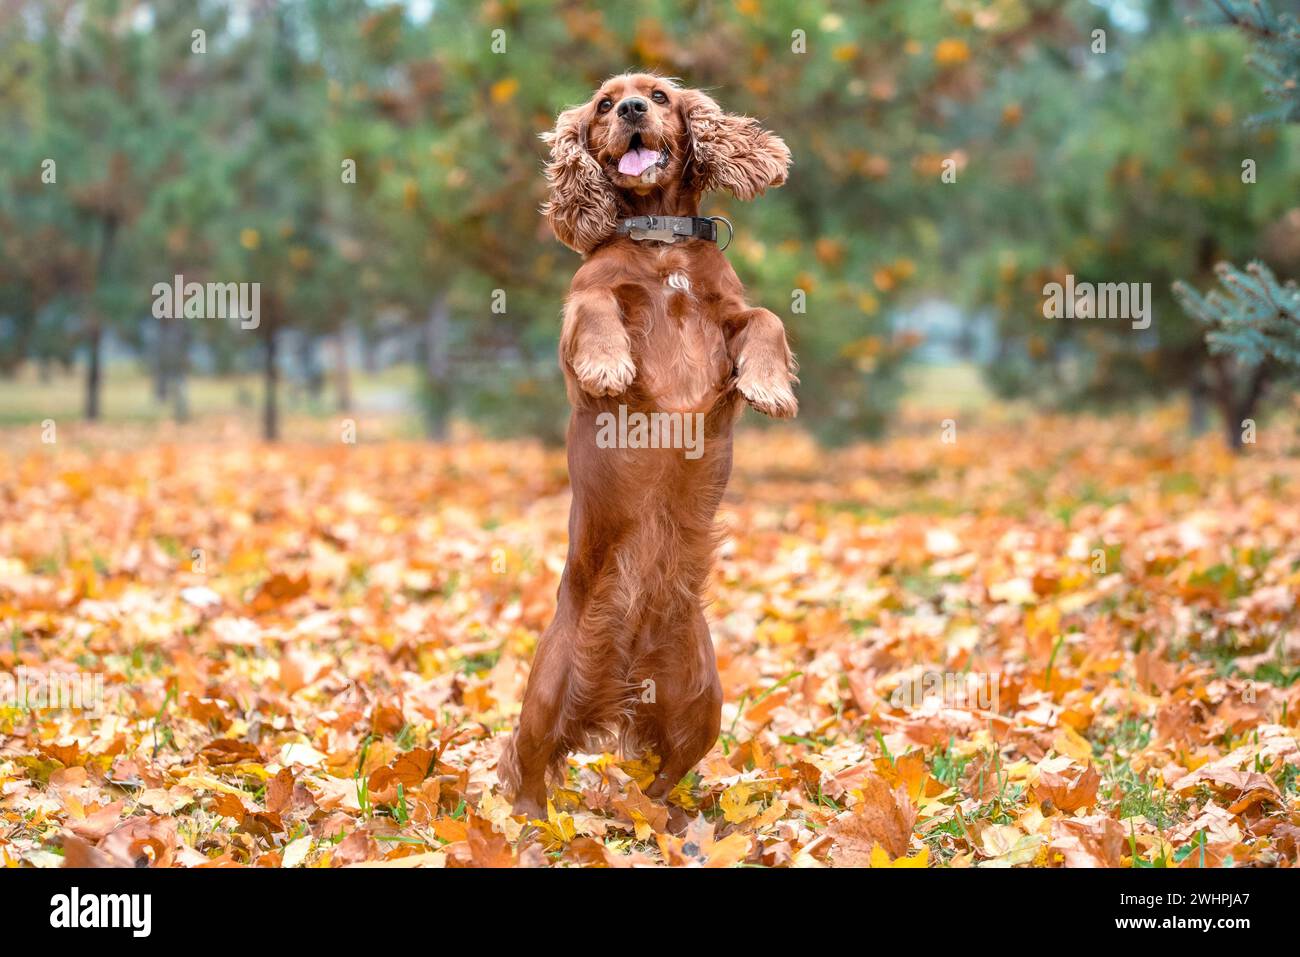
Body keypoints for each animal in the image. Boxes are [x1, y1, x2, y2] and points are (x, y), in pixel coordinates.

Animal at [501, 72, 795, 816]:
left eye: (659, 96)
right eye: (604, 105)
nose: (632, 110)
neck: (662, 246)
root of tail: (621, 686)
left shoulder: (733, 312)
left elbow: (768, 318)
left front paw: (771, 386)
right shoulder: (584, 308)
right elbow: (597, 309)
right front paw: (610, 366)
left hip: (704, 701)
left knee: (667, 771)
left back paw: (663, 814)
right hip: (543, 697)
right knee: (523, 768)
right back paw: (528, 825)